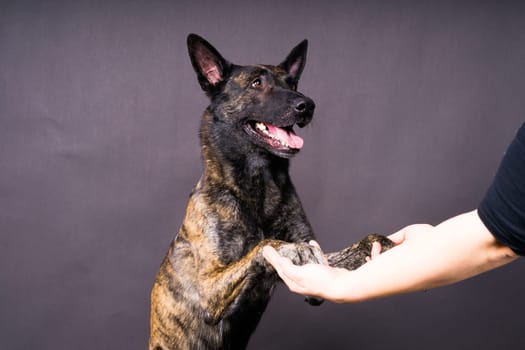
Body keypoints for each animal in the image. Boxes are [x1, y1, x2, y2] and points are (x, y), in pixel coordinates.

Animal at [148, 33, 392, 350]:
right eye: (256, 83)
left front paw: (378, 243)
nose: (308, 105)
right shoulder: (209, 289)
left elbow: (338, 253)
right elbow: (266, 244)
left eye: (292, 84)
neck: (259, 185)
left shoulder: (317, 266)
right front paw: (291, 248)